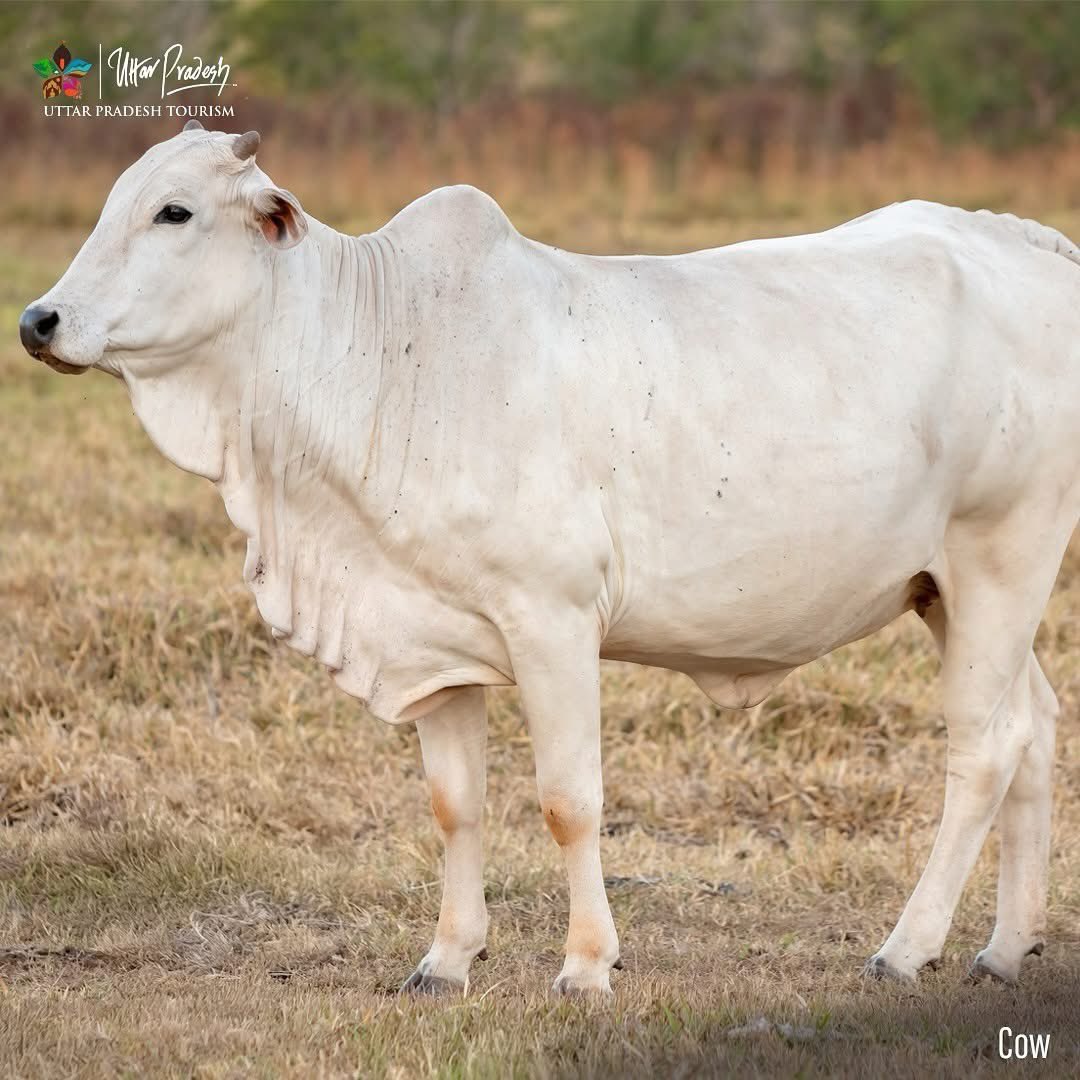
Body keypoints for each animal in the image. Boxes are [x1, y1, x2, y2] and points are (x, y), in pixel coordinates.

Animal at [19, 123, 1080, 996]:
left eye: (175, 210)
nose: (40, 321)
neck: (379, 355)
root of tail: (1026, 243)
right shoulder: (433, 641)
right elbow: (455, 805)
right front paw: (447, 960)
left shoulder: (555, 621)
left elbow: (569, 801)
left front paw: (586, 964)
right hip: (947, 591)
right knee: (1032, 726)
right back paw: (1006, 947)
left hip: (1001, 559)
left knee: (984, 750)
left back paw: (908, 948)